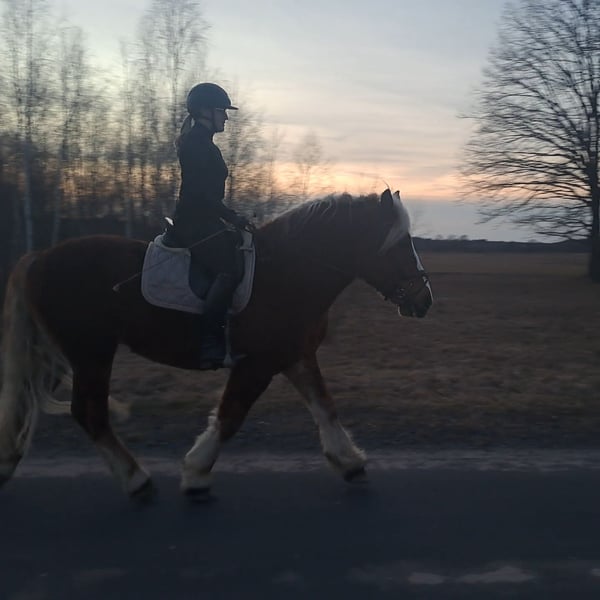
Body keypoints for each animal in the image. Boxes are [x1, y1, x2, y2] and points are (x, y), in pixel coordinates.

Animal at [0, 189, 432, 499]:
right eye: (399, 244)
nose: (424, 300)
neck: (290, 270)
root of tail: (40, 257)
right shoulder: (257, 363)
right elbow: (230, 415)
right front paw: (196, 473)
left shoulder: (294, 355)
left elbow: (325, 407)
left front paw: (350, 462)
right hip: (91, 353)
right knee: (89, 413)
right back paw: (136, 479)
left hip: (63, 356)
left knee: (32, 403)